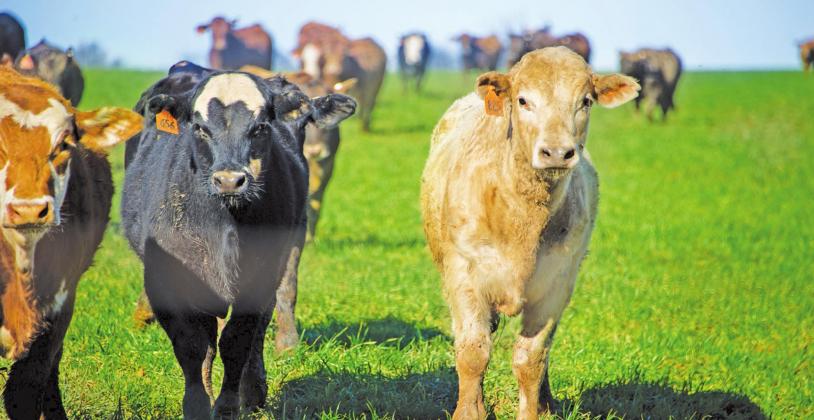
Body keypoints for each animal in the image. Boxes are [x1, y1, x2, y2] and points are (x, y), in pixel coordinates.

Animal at [121, 69, 356, 418]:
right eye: (199, 127)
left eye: (260, 127)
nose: (230, 180)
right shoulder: (170, 281)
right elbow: (193, 346)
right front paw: (197, 404)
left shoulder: (263, 274)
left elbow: (237, 340)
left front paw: (229, 405)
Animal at [420, 47, 639, 419]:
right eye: (523, 100)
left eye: (585, 101)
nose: (557, 152)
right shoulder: (464, 276)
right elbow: (473, 353)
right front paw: (470, 411)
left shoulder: (555, 285)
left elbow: (531, 358)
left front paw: (535, 407)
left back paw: (547, 403)